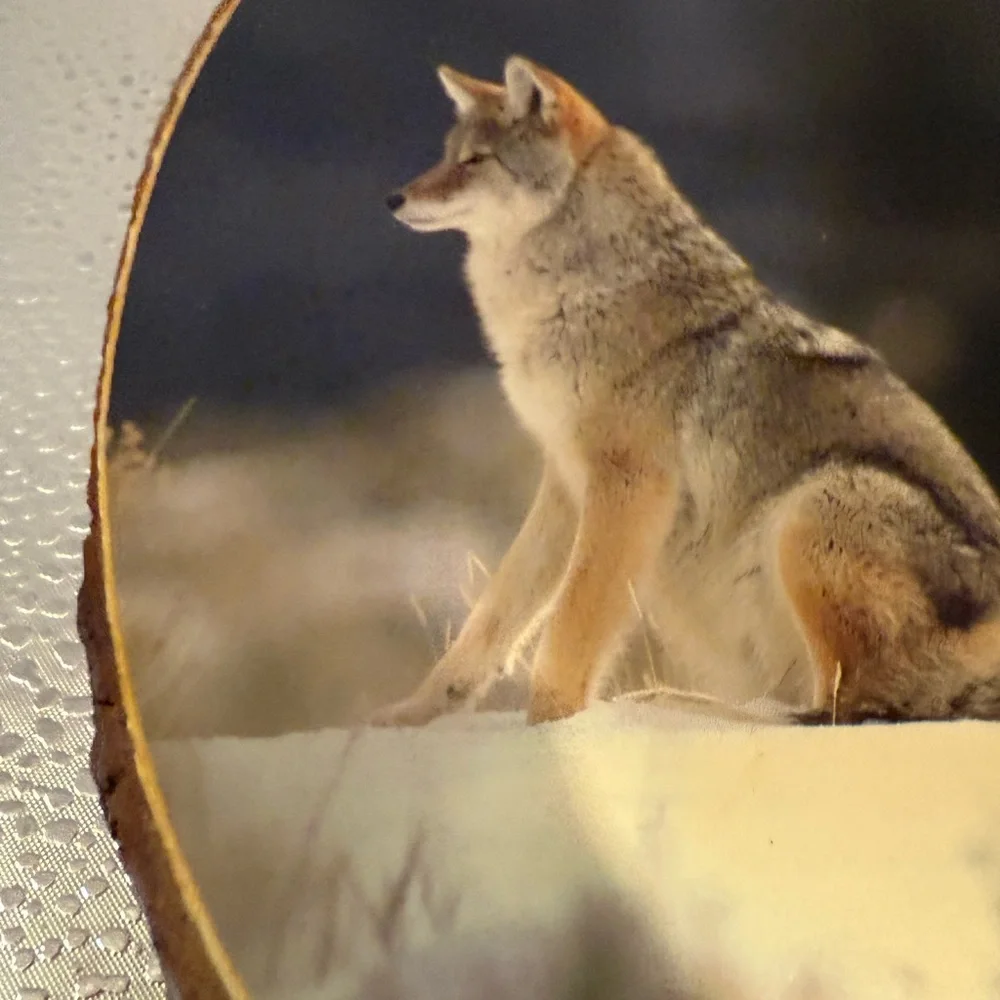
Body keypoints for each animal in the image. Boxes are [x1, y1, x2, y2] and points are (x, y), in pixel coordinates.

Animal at [373, 55, 1000, 727]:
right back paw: (664, 702)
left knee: (848, 706)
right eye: (448, 155)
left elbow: (572, 627)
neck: (583, 293)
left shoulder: (630, 484)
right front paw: (416, 713)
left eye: (475, 161)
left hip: (811, 507)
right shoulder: (565, 482)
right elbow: (493, 618)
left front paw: (551, 724)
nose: (394, 198)